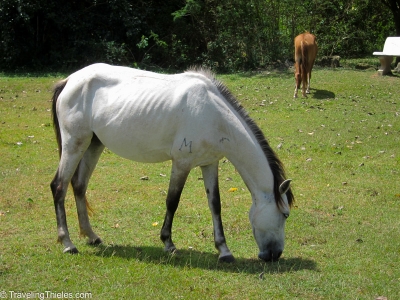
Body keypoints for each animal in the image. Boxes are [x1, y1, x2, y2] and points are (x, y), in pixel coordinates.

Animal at [50, 62, 294, 262]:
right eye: (285, 214)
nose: (275, 255)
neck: (214, 114)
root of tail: (69, 80)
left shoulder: (209, 164)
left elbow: (215, 205)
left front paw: (224, 251)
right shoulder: (181, 164)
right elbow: (172, 201)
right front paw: (168, 243)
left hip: (93, 145)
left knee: (79, 186)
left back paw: (91, 236)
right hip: (75, 145)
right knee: (59, 186)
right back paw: (68, 244)